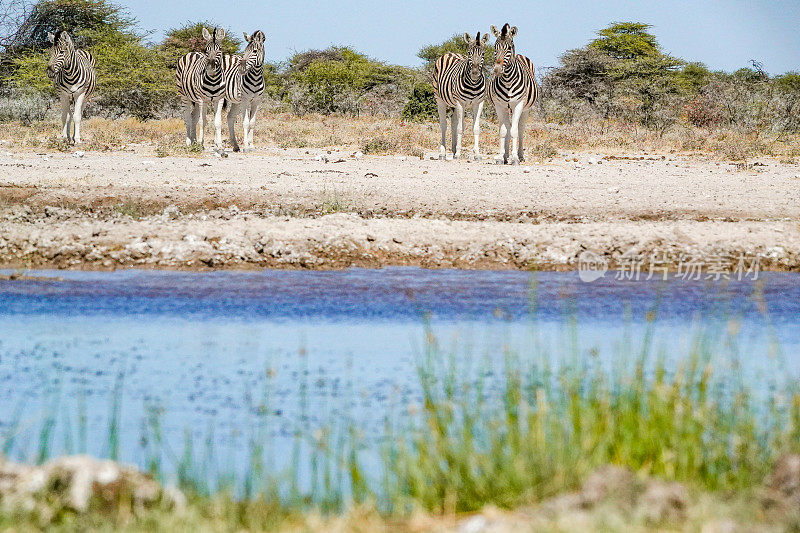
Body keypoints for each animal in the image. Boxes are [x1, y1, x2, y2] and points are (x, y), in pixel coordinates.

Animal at [432, 30, 488, 159]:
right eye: (469, 53)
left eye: (483, 53)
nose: (475, 73)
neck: (473, 84)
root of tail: (449, 53)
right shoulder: (460, 102)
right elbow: (460, 128)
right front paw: (458, 153)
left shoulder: (479, 103)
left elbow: (475, 128)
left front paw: (477, 154)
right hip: (440, 100)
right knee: (444, 125)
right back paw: (443, 153)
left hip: (453, 104)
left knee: (453, 122)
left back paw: (453, 150)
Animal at [484, 23, 540, 164]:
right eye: (495, 47)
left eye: (509, 47)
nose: (497, 70)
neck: (507, 80)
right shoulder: (499, 105)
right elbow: (504, 131)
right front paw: (501, 156)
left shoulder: (518, 104)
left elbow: (515, 131)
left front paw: (515, 158)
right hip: (506, 108)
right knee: (507, 128)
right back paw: (506, 156)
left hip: (526, 109)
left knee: (520, 129)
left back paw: (520, 156)